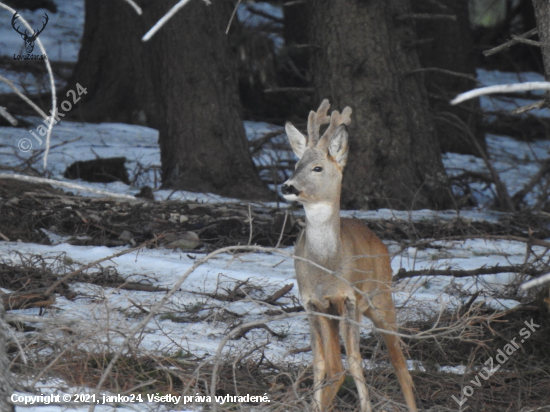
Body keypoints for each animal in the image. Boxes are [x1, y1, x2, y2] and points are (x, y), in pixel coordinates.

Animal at [284, 100, 418, 412]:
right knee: (335, 366)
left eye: (318, 167)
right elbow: (321, 363)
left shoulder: (349, 298)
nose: (288, 186)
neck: (326, 266)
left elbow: (356, 362)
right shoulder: (312, 302)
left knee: (400, 363)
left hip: (381, 297)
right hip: (336, 314)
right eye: (295, 165)